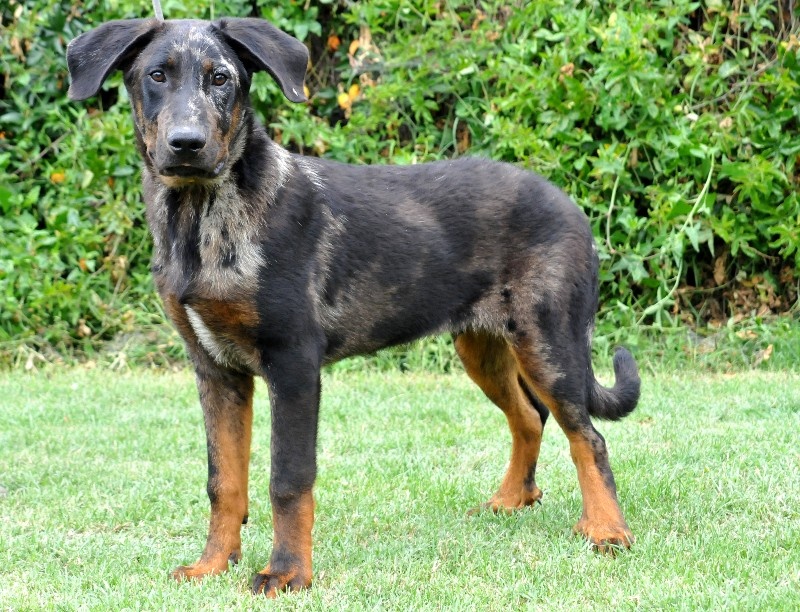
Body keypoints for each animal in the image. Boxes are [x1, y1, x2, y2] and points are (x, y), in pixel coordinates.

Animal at [67, 17, 640, 597]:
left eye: (221, 78)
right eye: (157, 76)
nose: (187, 144)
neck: (201, 213)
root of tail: (571, 207)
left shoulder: (293, 364)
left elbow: (288, 478)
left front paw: (288, 572)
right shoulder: (216, 369)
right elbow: (222, 481)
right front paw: (212, 564)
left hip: (547, 341)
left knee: (587, 436)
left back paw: (607, 531)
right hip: (482, 346)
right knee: (529, 417)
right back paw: (511, 500)